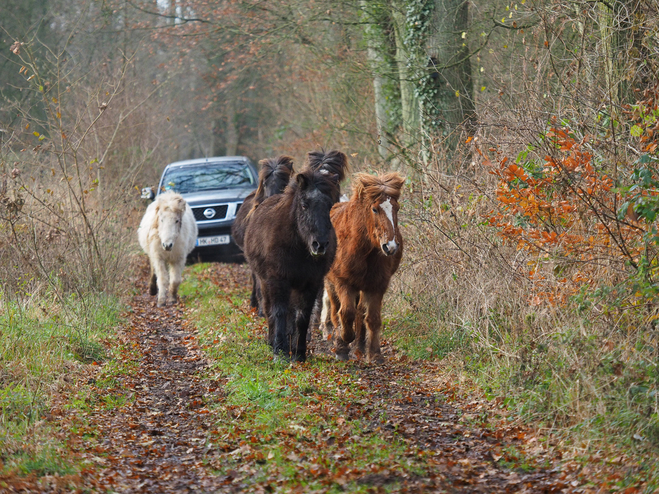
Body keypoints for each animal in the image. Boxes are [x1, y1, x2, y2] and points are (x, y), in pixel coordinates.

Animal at [324, 173, 404, 362]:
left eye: (396, 209)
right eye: (375, 209)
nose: (390, 246)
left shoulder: (377, 286)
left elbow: (373, 319)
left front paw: (374, 353)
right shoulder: (343, 283)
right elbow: (346, 313)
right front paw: (343, 342)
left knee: (360, 312)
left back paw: (359, 346)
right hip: (331, 284)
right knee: (335, 311)